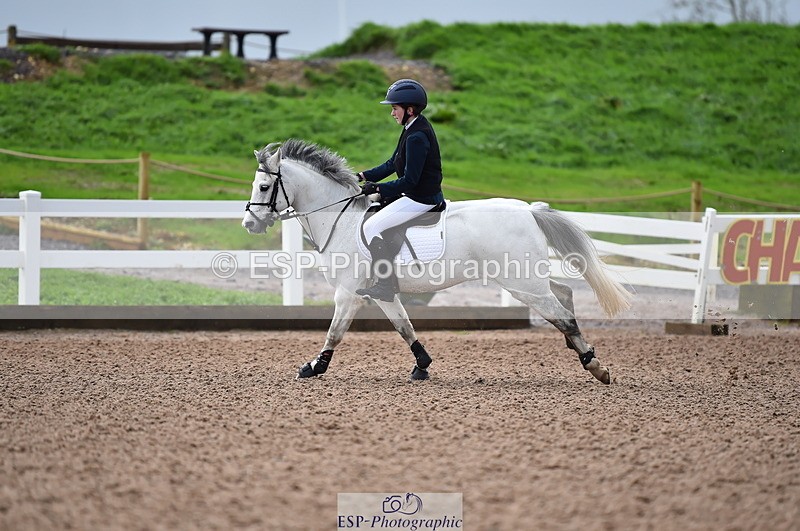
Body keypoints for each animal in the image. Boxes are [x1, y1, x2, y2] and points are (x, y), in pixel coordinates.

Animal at [242, 139, 632, 384]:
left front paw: (313, 367)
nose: (249, 224)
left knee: (562, 313)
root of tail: (529, 210)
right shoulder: (382, 293)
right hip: (527, 280)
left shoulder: (348, 292)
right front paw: (422, 366)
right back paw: (579, 351)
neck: (342, 220)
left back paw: (595, 366)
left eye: (263, 187)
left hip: (522, 284)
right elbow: (405, 327)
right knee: (564, 295)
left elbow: (335, 333)